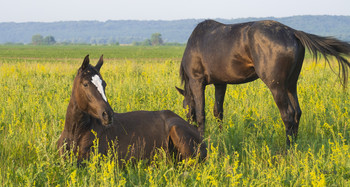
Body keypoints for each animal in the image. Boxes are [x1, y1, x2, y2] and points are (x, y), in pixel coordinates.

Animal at [178, 19, 350, 147]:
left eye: (184, 106)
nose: (187, 127)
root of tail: (292, 32)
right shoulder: (221, 83)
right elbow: (218, 112)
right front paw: (221, 136)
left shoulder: (196, 81)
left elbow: (201, 113)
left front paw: (202, 139)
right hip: (290, 85)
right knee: (297, 113)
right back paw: (294, 145)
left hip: (276, 87)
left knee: (288, 114)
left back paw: (287, 150)